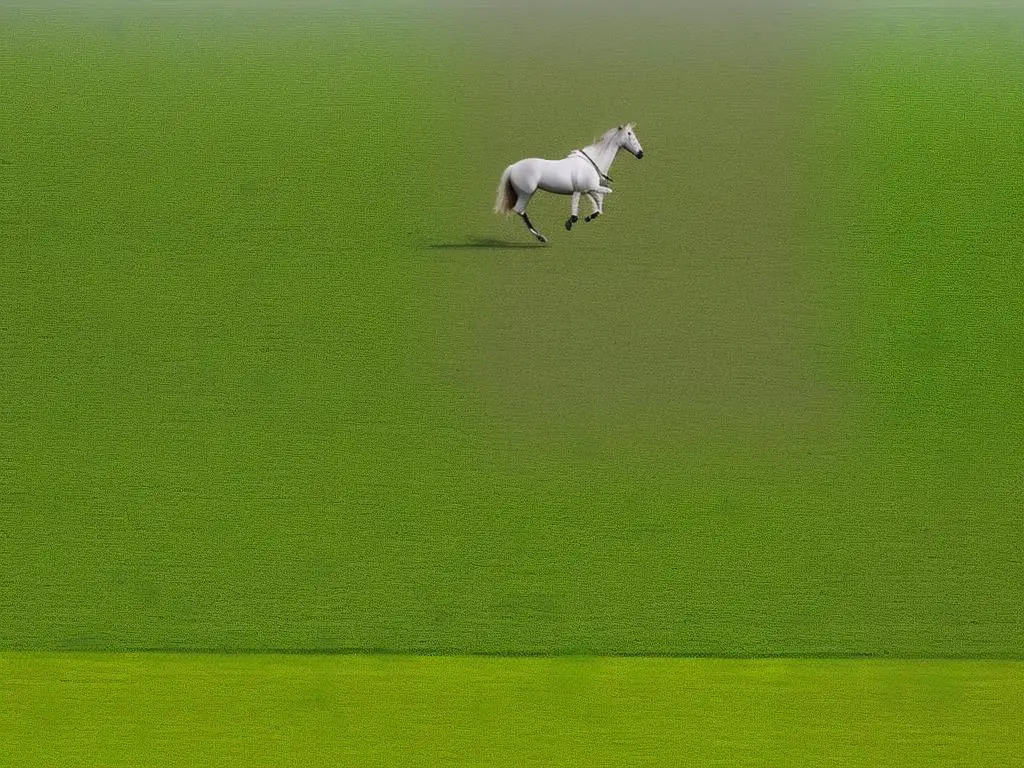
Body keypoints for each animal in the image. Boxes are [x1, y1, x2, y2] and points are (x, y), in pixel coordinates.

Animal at [491, 123, 643, 243]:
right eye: (629, 134)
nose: (641, 154)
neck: (591, 162)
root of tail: (513, 167)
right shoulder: (584, 189)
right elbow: (583, 210)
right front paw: (569, 223)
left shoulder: (586, 189)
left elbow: (598, 206)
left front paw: (588, 217)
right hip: (526, 193)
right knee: (519, 210)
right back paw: (541, 237)